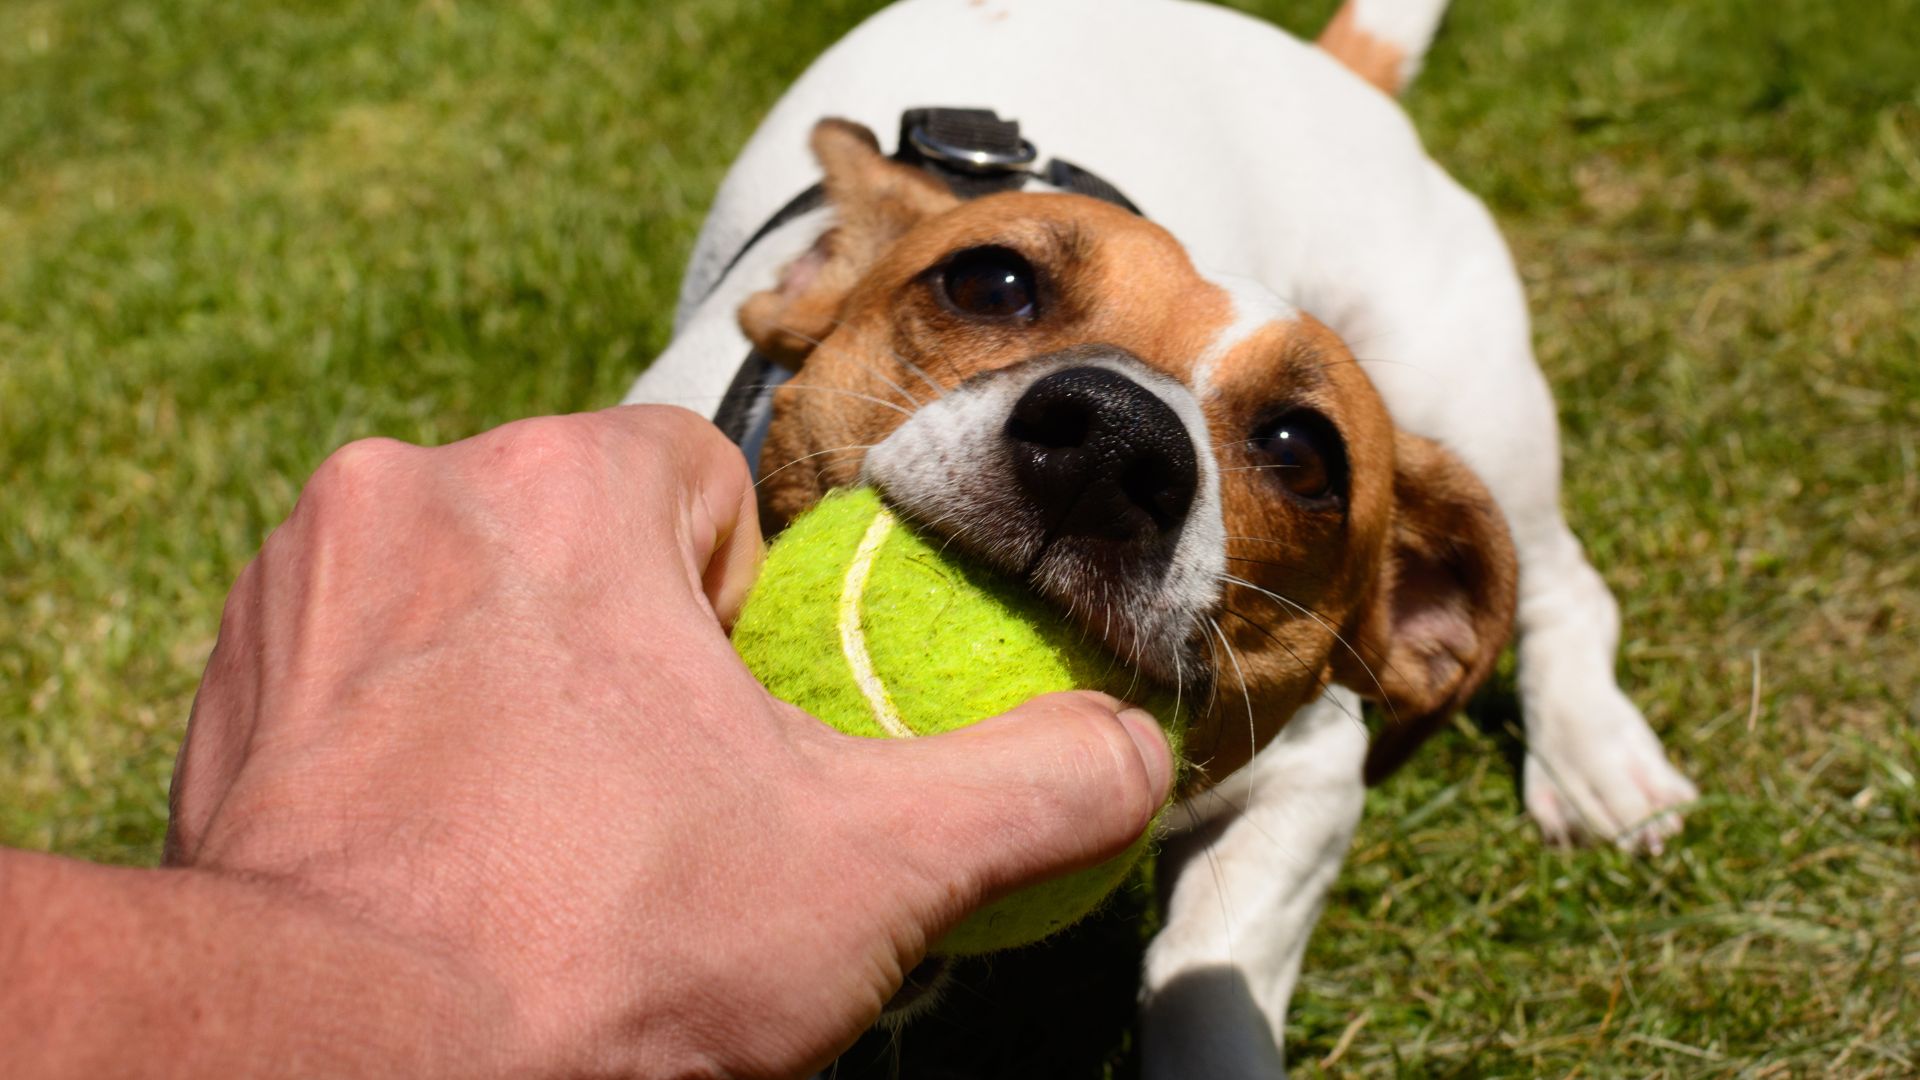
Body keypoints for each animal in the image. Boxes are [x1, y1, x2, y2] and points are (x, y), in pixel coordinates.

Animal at [625, 0, 1697, 1060]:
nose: (1113, 441)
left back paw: (1597, 757)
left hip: (1476, 404)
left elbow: (1205, 976)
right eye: (987, 282)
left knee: (1565, 582)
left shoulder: (1311, 774)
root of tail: (1334, 65)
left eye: (1305, 453)